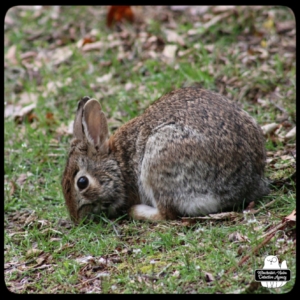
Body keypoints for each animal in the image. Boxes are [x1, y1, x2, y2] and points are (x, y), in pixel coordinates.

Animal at [61, 86, 270, 223]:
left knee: (166, 213)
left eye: (82, 182)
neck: (118, 164)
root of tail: (244, 183)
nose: (76, 219)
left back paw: (135, 210)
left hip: (157, 162)